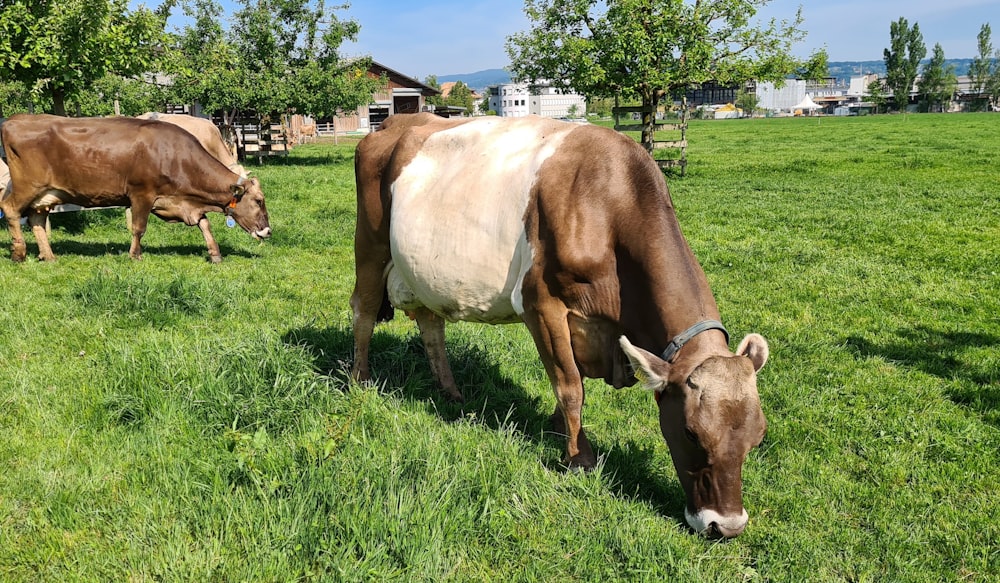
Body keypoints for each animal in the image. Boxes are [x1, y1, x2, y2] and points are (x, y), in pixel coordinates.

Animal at [0, 113, 270, 262]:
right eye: (258, 201)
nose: (267, 231)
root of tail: (16, 119)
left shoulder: (176, 202)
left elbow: (204, 223)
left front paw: (214, 254)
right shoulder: (142, 194)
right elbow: (139, 228)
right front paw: (135, 255)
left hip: (46, 194)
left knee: (36, 220)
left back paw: (48, 255)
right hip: (27, 186)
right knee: (10, 209)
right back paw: (19, 252)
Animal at [354, 112, 772, 540]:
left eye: (759, 436)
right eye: (690, 432)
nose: (726, 525)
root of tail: (398, 121)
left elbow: (569, 380)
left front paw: (559, 429)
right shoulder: (541, 303)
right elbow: (570, 386)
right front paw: (578, 456)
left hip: (422, 273)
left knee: (431, 326)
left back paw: (451, 392)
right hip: (370, 246)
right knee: (363, 312)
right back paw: (361, 379)